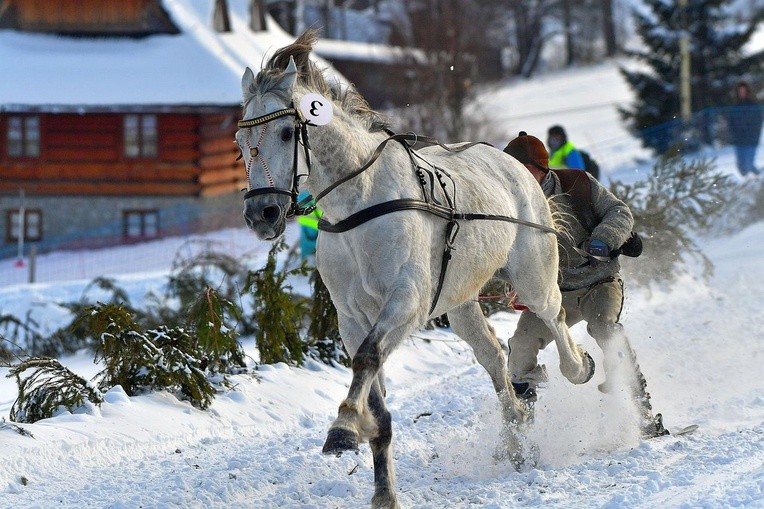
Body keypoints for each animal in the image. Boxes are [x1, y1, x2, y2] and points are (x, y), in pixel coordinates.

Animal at [236, 30, 592, 508]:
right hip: (460, 301)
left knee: (553, 315)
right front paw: (383, 487)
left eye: (287, 130)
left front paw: (343, 427)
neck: (359, 204)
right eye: (240, 143)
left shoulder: (408, 300)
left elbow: (368, 358)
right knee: (493, 356)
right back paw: (517, 432)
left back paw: (578, 367)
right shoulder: (352, 318)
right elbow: (374, 392)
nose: (262, 213)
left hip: (533, 273)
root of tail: (513, 164)